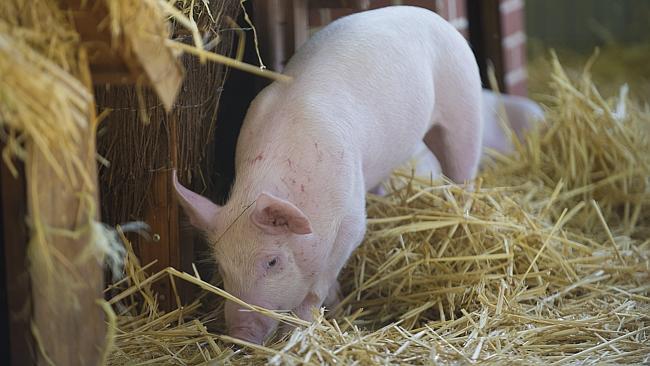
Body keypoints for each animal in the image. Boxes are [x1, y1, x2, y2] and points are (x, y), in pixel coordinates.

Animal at [171, 5, 480, 344]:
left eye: (272, 261)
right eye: (223, 267)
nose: (240, 335)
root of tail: (430, 15)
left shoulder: (351, 221)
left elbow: (319, 282)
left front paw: (304, 326)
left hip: (464, 105)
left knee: (463, 168)